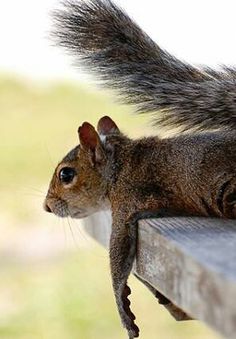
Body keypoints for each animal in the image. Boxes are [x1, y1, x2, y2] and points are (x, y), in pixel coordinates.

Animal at [44, 1, 236, 338]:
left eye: (66, 175)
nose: (47, 206)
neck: (119, 165)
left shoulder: (127, 203)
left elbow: (118, 255)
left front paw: (123, 309)